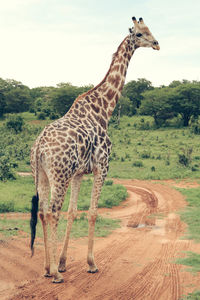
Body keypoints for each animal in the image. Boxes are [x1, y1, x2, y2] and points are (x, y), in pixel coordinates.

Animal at [30, 16, 160, 284]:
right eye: (140, 33)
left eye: (150, 30)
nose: (156, 44)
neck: (104, 110)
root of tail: (39, 146)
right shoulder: (103, 166)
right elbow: (91, 212)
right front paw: (90, 263)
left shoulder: (79, 173)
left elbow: (73, 212)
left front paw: (63, 262)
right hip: (59, 175)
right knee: (52, 212)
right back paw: (55, 274)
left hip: (43, 175)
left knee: (43, 212)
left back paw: (47, 268)